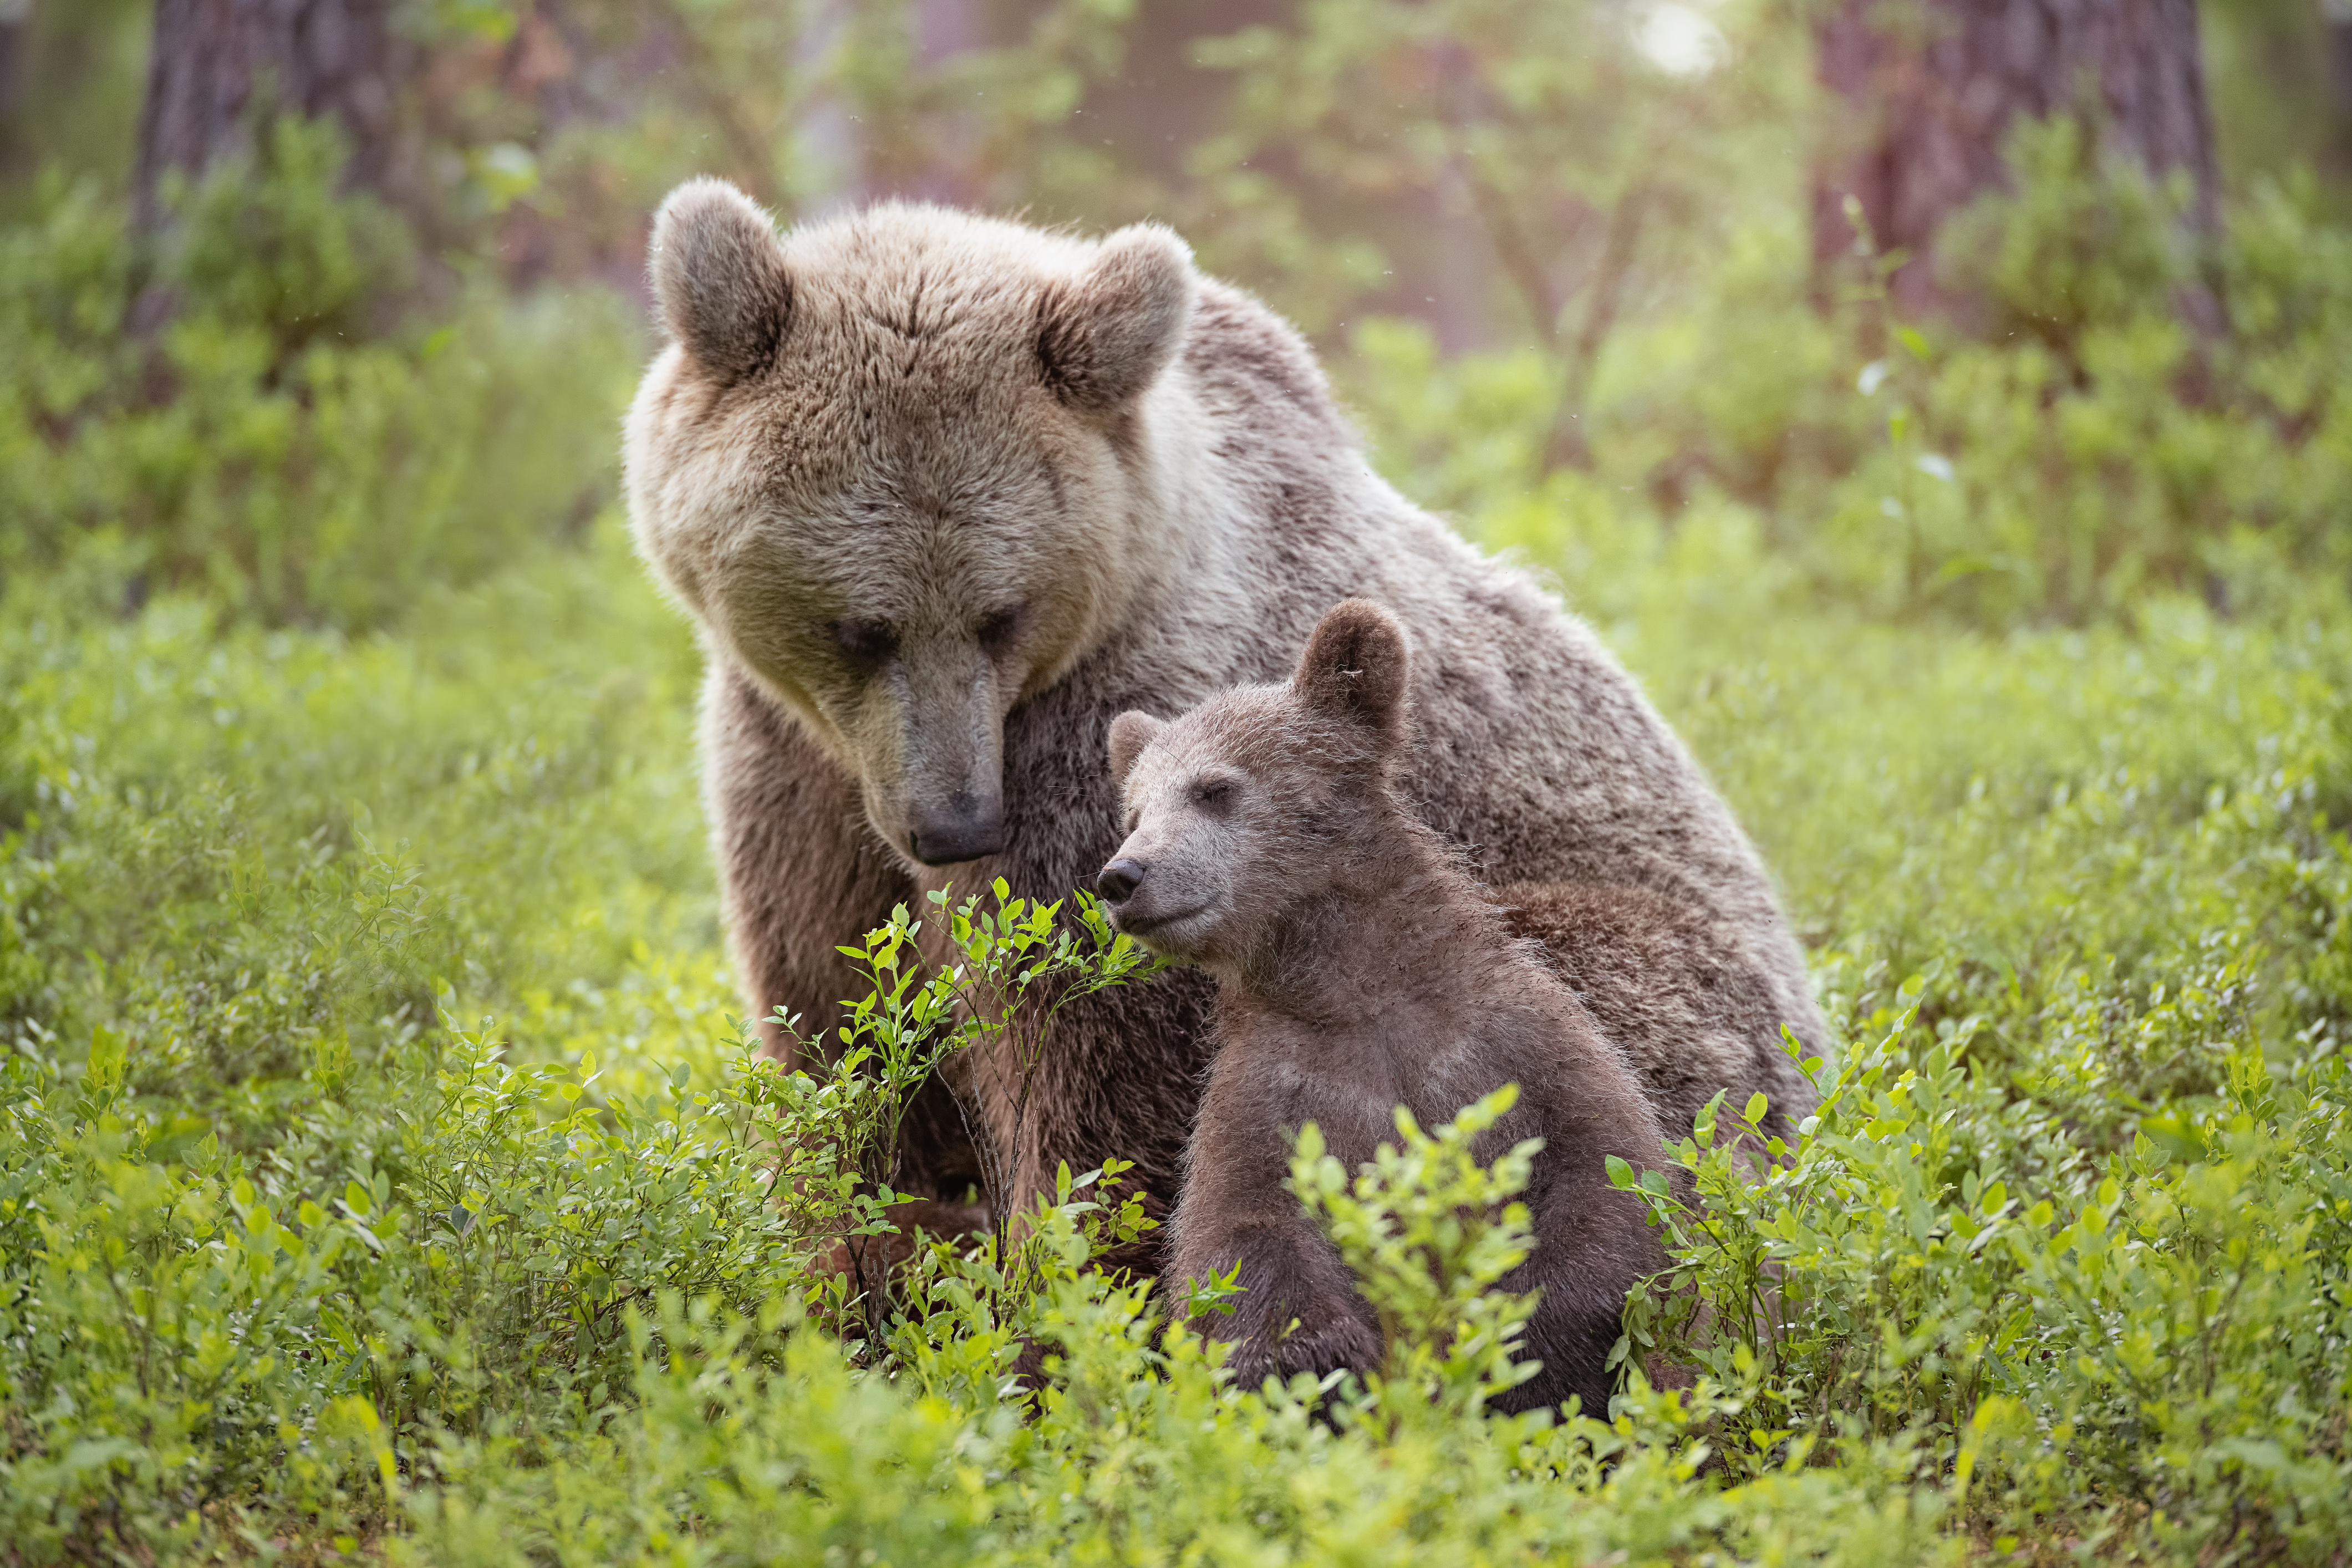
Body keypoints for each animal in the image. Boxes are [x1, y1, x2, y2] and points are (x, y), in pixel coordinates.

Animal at [620, 175, 1815, 1250]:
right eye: (860, 627)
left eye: (1002, 615)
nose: (955, 823)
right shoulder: (791, 769)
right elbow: (840, 1039)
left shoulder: (1115, 761)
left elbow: (1099, 1088)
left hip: (1671, 1004)